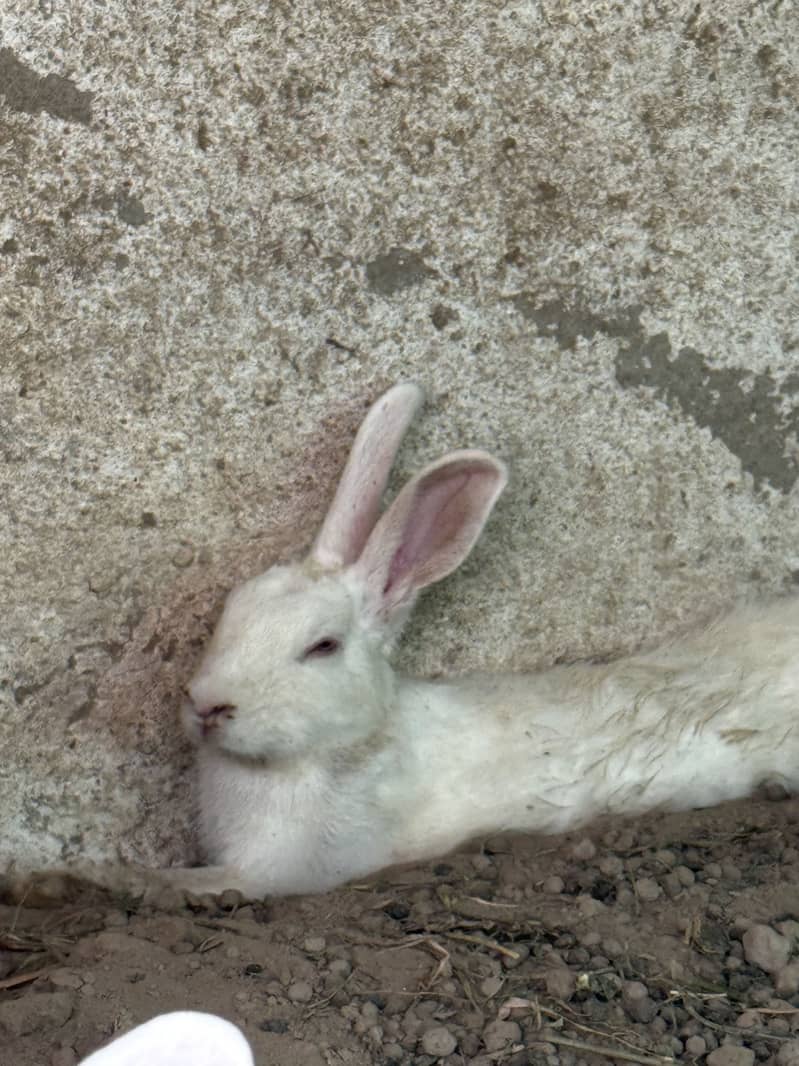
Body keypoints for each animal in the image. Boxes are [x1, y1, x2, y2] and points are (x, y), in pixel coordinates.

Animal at [7, 381, 798, 907]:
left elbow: (187, 884)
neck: (333, 751)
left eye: (322, 647)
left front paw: (60, 880)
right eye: (228, 612)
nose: (208, 706)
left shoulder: (279, 870)